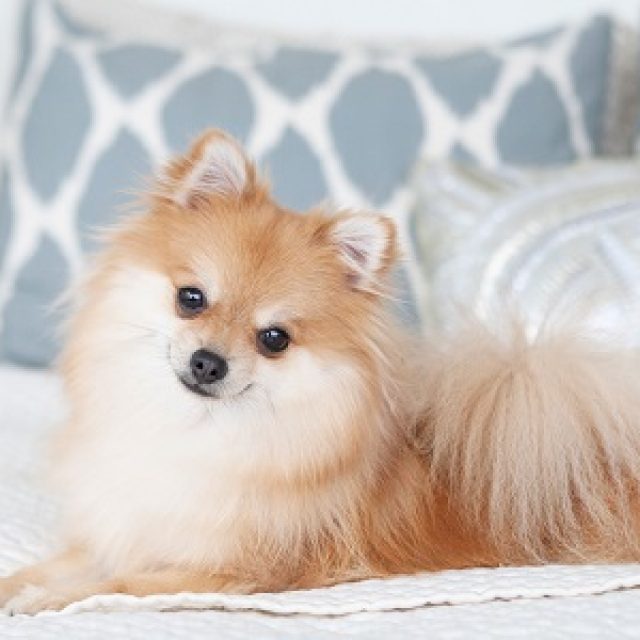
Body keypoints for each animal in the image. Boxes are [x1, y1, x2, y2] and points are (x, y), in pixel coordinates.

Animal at [2, 129, 640, 615]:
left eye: (274, 339)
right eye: (191, 299)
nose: (208, 362)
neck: (192, 430)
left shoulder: (225, 568)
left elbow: (116, 583)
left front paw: (44, 601)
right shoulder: (119, 529)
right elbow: (53, 566)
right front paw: (22, 585)